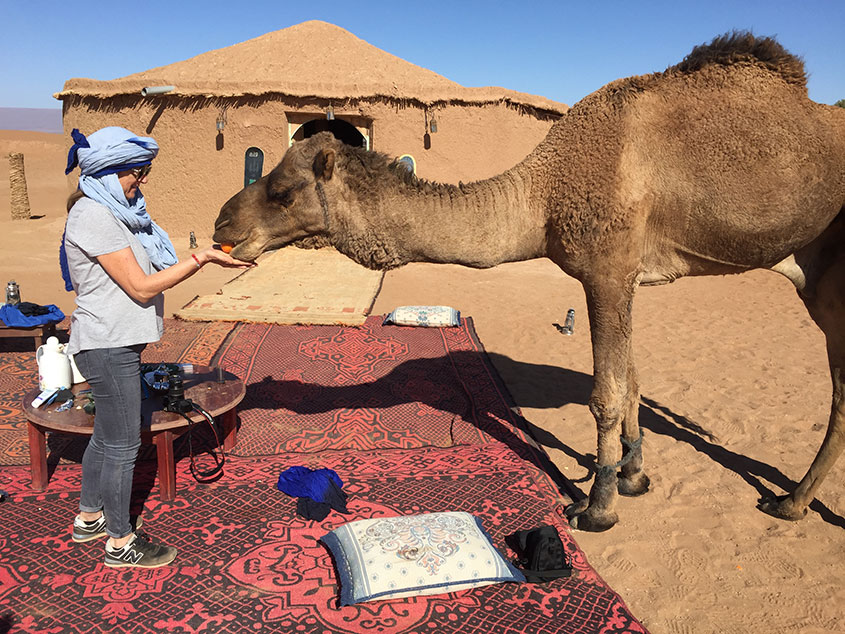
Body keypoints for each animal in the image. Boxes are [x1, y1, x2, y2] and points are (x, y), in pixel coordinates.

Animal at [213, 33, 844, 528]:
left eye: (282, 191)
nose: (222, 223)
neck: (542, 195)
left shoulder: (606, 269)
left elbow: (606, 394)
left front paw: (598, 506)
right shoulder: (628, 277)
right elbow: (633, 381)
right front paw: (635, 475)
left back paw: (790, 503)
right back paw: (792, 501)